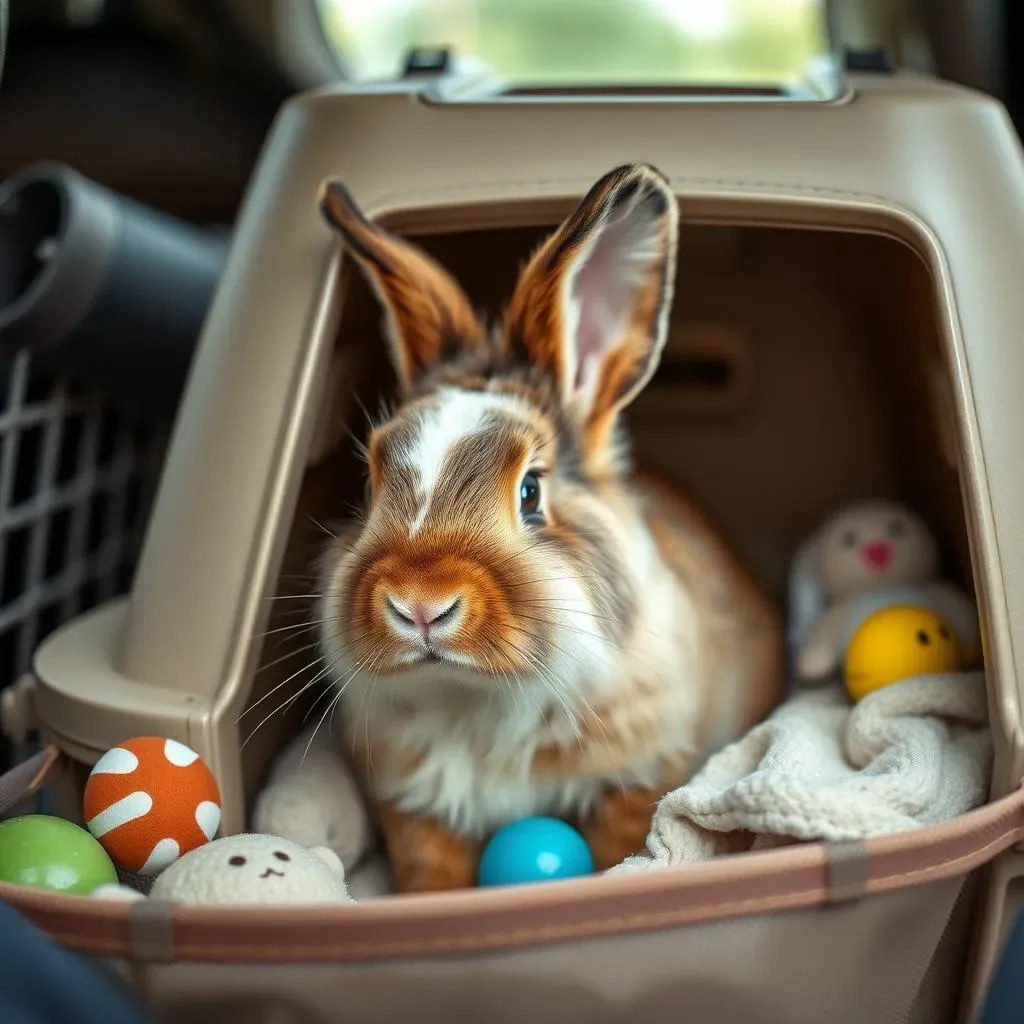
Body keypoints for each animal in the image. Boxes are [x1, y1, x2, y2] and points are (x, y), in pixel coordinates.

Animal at [305, 163, 782, 892]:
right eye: (369, 480)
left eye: (532, 490)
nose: (419, 605)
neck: (477, 700)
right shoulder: (413, 808)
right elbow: (431, 874)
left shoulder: (637, 780)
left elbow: (622, 843)